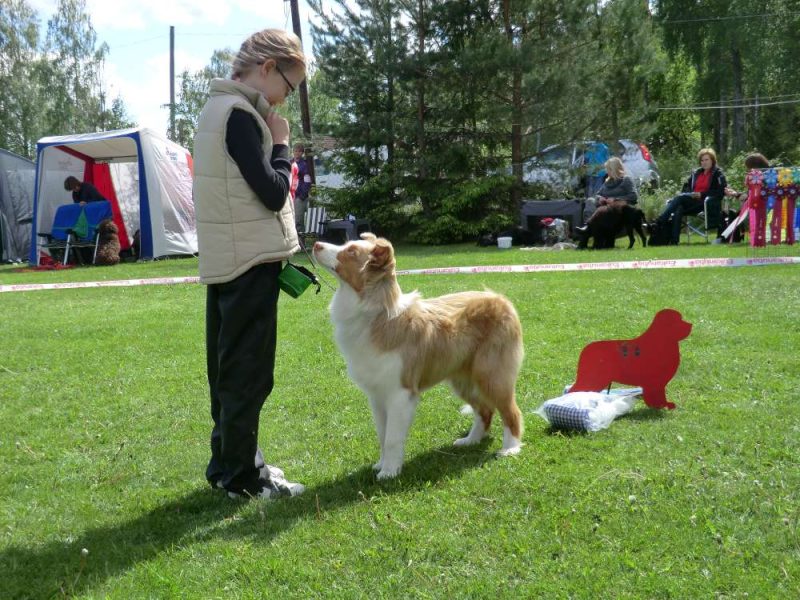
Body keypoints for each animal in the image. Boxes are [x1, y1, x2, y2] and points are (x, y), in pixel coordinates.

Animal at [312, 233, 524, 478]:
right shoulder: (377, 395)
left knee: (511, 411)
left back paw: (510, 449)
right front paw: (381, 464)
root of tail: (501, 299)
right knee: (485, 410)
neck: (376, 314)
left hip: (491, 374)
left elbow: (392, 438)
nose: (316, 244)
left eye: (352, 252)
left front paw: (389, 473)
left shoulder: (399, 393)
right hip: (462, 379)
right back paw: (470, 441)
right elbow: (382, 435)